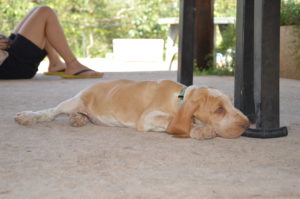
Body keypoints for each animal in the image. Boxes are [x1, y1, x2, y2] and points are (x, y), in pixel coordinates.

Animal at [15, 79, 250, 140]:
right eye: (219, 110)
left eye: (231, 103)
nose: (247, 124)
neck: (180, 98)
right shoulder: (148, 118)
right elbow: (171, 121)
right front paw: (199, 129)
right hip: (72, 102)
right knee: (50, 112)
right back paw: (28, 116)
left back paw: (78, 119)